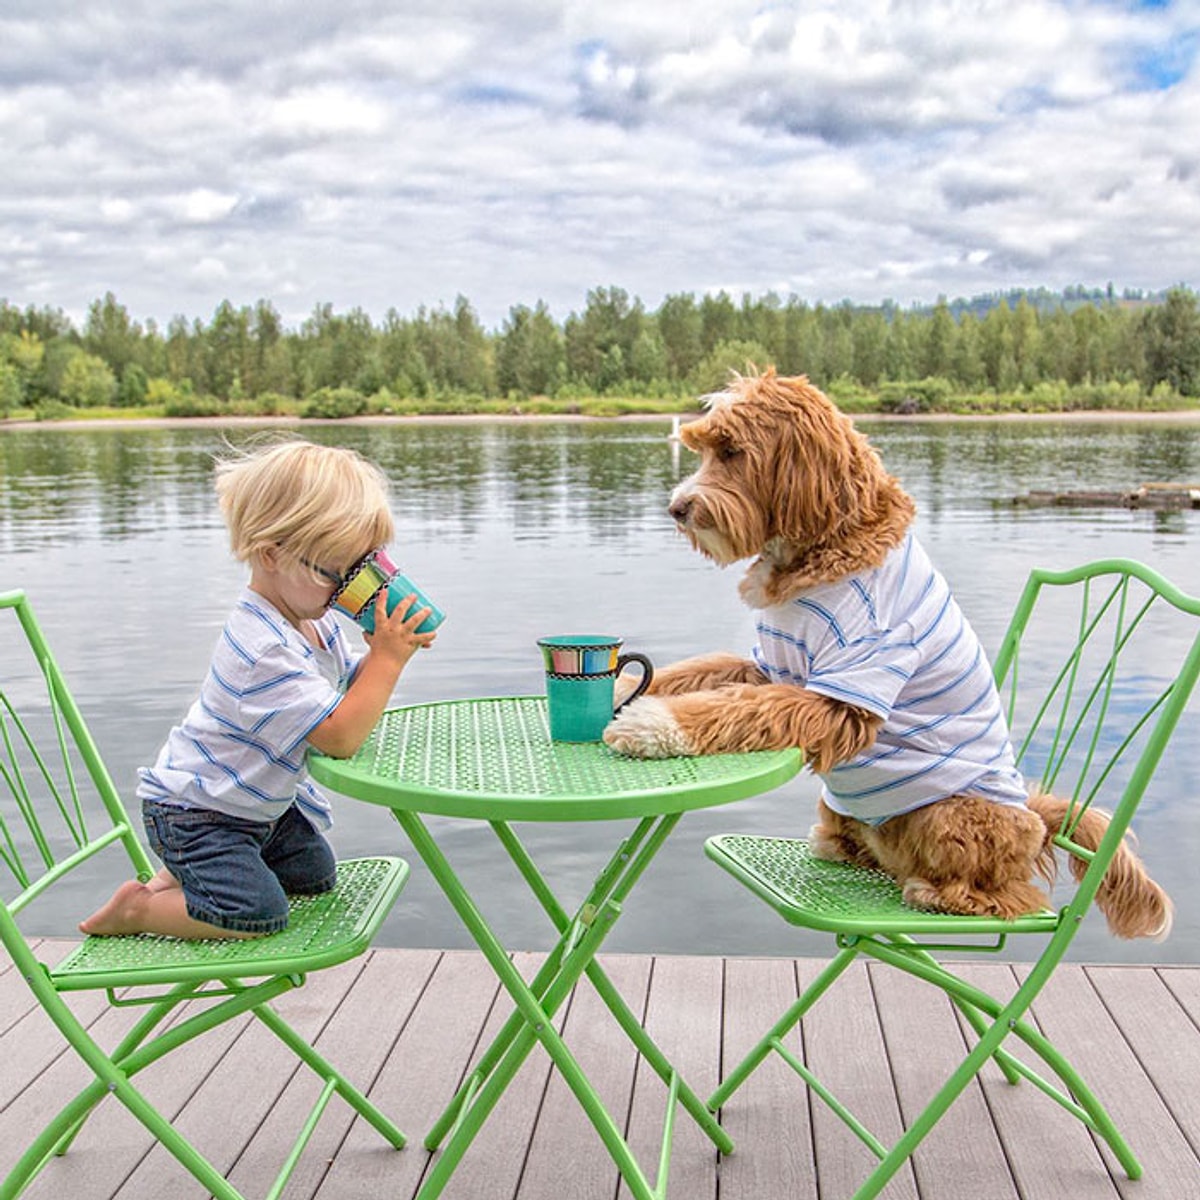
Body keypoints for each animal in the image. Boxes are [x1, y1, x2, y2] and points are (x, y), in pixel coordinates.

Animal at [604, 367, 1166, 936]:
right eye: (701, 449)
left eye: (732, 451)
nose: (677, 508)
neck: (823, 545)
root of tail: (1036, 816)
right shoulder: (770, 665)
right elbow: (703, 672)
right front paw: (627, 686)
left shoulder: (844, 689)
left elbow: (739, 707)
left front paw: (650, 724)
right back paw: (843, 846)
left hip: (954, 817)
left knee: (1013, 895)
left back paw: (938, 893)